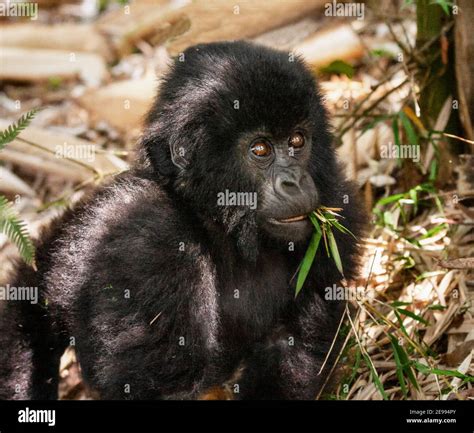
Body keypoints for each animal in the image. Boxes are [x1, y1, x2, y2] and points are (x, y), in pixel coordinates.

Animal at [0, 40, 364, 398]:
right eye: (260, 149)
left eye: (297, 141)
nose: (295, 181)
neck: (217, 225)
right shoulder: (146, 232)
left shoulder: (337, 209)